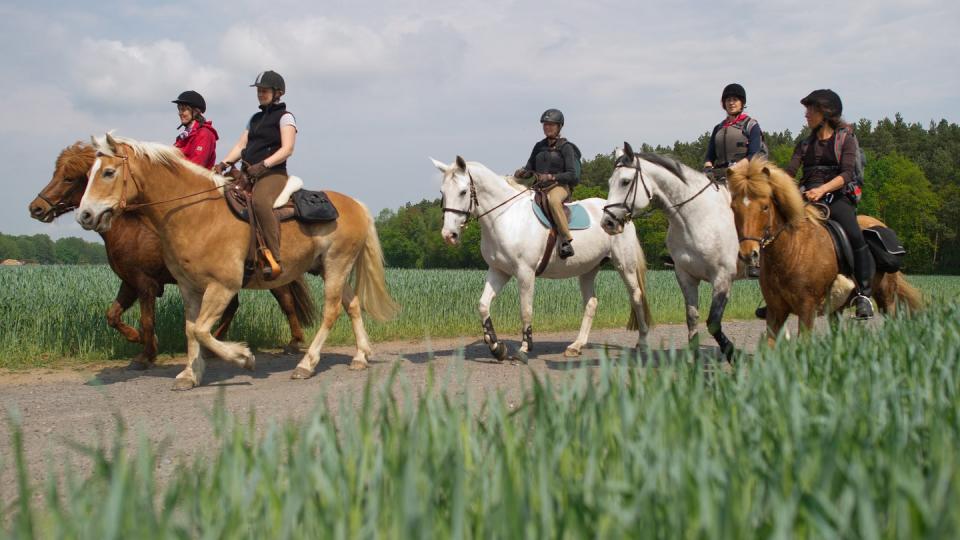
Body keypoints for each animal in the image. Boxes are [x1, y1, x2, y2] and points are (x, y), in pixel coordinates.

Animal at [28, 141, 316, 370]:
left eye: (70, 177)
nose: (36, 208)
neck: (134, 226)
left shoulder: (145, 283)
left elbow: (146, 320)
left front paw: (146, 353)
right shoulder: (130, 281)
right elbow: (113, 315)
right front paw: (138, 340)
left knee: (285, 301)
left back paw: (291, 342)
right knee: (235, 307)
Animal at [76, 133, 402, 390]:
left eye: (108, 172)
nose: (85, 215)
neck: (197, 214)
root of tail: (356, 205)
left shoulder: (222, 286)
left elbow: (201, 330)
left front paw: (243, 357)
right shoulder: (189, 287)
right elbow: (191, 329)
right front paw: (190, 374)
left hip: (336, 265)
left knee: (331, 312)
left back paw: (307, 365)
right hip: (330, 268)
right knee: (353, 305)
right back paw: (360, 356)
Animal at [434, 155, 652, 362]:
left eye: (463, 192)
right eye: (442, 193)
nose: (449, 235)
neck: (506, 217)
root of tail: (620, 214)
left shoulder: (525, 272)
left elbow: (526, 310)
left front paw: (523, 349)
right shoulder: (499, 271)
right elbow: (483, 305)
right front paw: (497, 349)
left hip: (625, 265)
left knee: (636, 296)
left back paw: (642, 342)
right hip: (588, 269)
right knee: (591, 303)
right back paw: (576, 346)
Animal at [600, 143, 744, 358]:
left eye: (625, 182)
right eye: (610, 182)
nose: (607, 223)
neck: (698, 217)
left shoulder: (723, 277)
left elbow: (713, 323)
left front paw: (732, 354)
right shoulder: (685, 276)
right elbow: (692, 317)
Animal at [728, 159, 924, 346]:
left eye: (765, 207)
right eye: (733, 207)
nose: (748, 254)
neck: (792, 250)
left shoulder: (807, 308)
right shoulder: (776, 311)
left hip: (886, 299)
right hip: (837, 308)